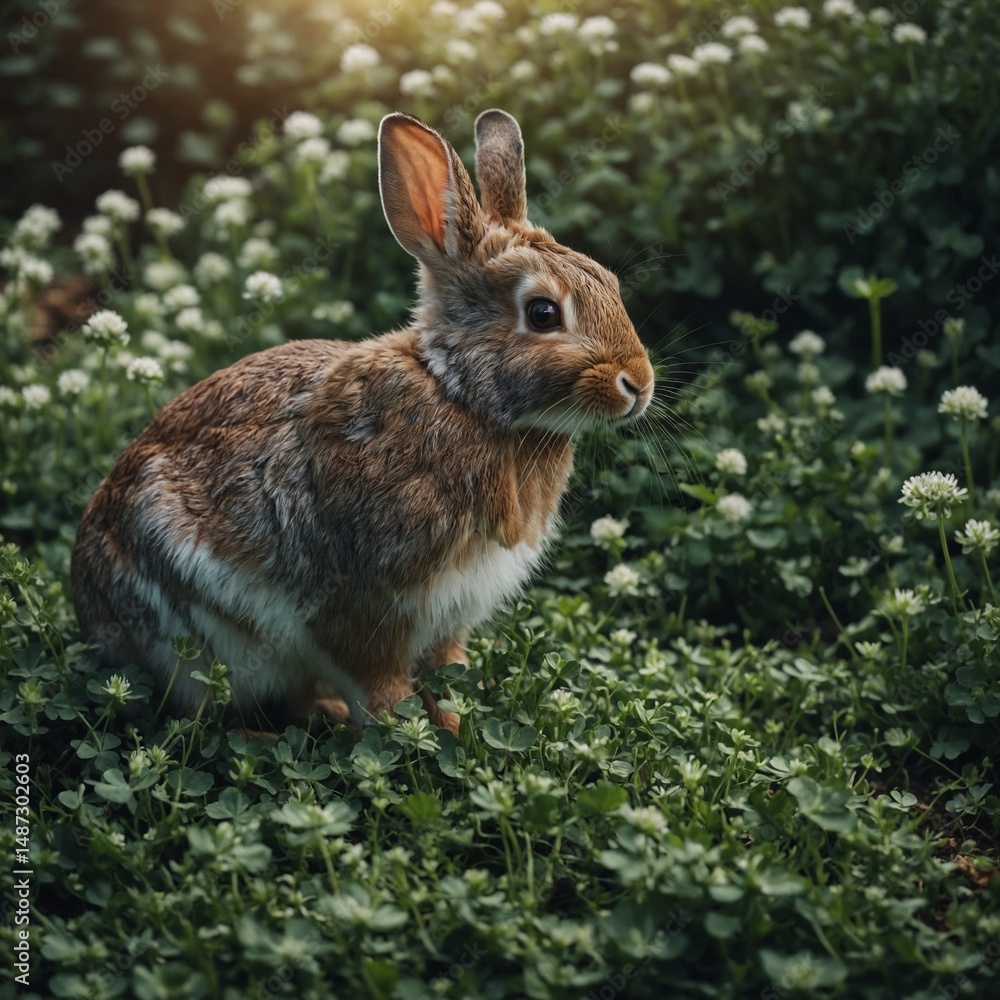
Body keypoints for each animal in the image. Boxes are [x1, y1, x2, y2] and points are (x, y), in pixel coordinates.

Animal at [71, 108, 655, 736]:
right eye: (543, 313)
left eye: (610, 282)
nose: (639, 383)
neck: (460, 395)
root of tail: (91, 613)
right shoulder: (360, 602)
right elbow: (381, 688)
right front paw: (409, 737)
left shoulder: (448, 614)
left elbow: (448, 674)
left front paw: (457, 728)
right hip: (192, 634)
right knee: (197, 714)